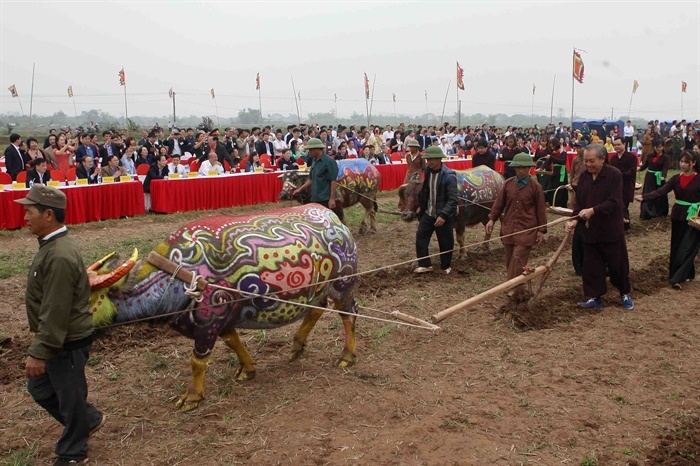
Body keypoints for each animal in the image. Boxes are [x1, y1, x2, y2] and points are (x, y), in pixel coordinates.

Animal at [87, 206, 358, 410]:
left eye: (89, 300)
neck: (177, 276)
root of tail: (336, 221)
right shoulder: (224, 320)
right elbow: (232, 343)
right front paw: (247, 370)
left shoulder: (209, 322)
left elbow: (197, 361)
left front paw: (192, 397)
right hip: (319, 290)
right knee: (317, 309)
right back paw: (297, 347)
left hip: (343, 285)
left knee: (349, 314)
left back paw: (346, 356)